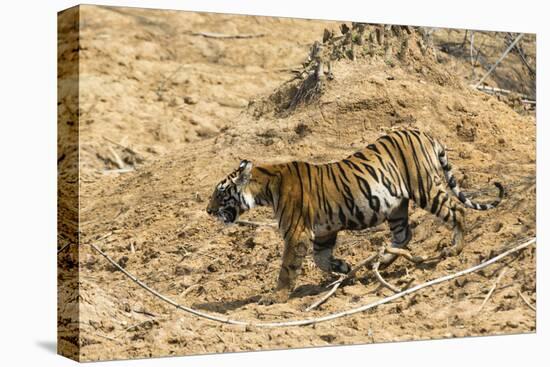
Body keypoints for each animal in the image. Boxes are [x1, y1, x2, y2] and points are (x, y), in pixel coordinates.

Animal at [206, 129, 504, 304]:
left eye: (220, 193)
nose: (208, 211)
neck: (265, 186)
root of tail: (424, 132)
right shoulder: (323, 232)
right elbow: (321, 259)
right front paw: (344, 268)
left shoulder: (297, 233)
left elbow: (287, 268)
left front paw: (275, 298)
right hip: (396, 207)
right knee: (404, 235)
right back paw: (381, 262)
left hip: (425, 188)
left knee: (456, 210)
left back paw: (455, 248)